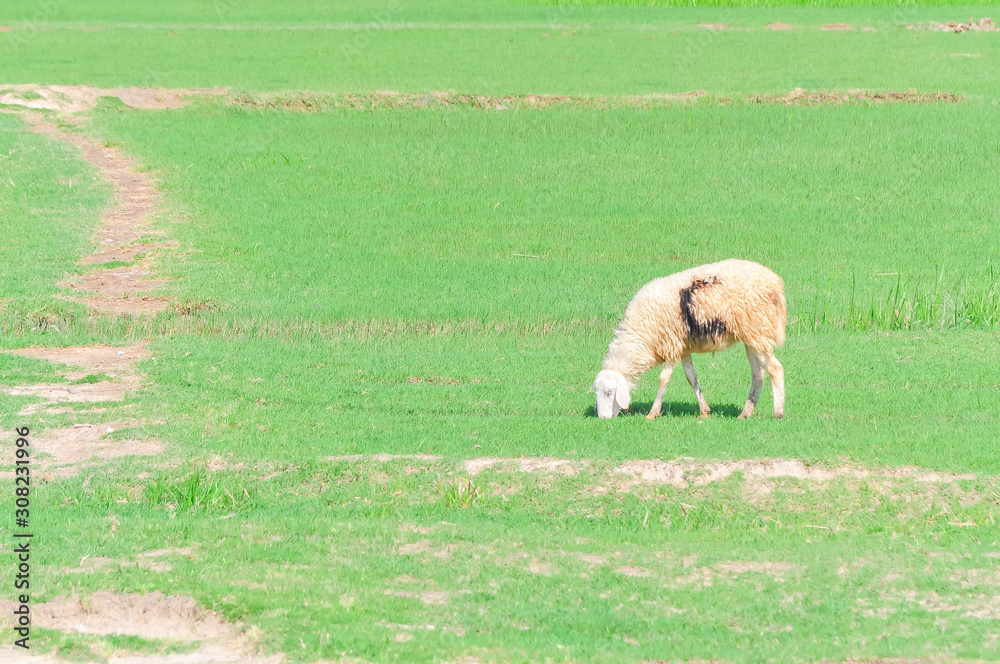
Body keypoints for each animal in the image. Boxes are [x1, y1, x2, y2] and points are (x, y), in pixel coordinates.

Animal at [592, 259, 786, 420]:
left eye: (609, 392)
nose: (603, 419)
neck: (640, 337)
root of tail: (776, 284)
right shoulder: (683, 348)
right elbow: (691, 377)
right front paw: (704, 411)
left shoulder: (672, 344)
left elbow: (663, 379)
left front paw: (653, 413)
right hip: (751, 336)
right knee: (758, 374)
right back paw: (746, 413)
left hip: (758, 330)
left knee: (775, 369)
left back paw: (778, 413)